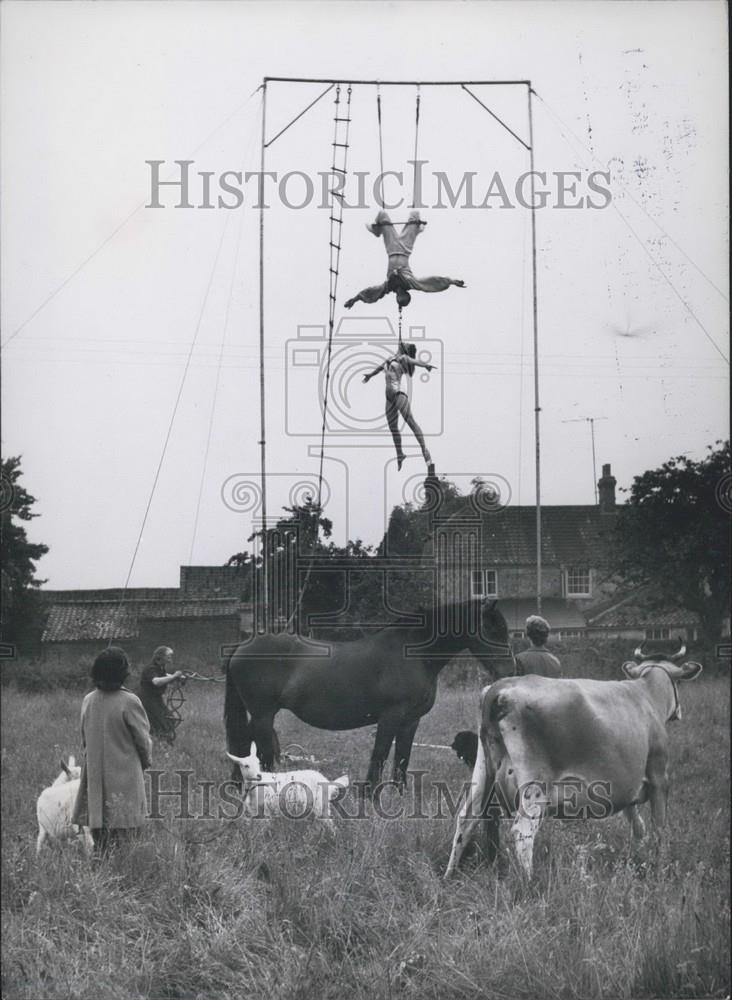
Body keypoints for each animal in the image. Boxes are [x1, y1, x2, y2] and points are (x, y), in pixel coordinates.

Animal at [223, 596, 508, 792]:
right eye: (492, 629)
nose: (508, 669)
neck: (413, 654)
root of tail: (242, 646)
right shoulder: (390, 717)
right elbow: (380, 754)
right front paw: (370, 797)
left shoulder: (411, 721)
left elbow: (402, 758)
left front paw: (399, 796)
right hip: (263, 714)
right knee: (261, 751)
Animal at [446, 644, 704, 880]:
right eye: (678, 683)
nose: (679, 711)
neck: (646, 694)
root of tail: (500, 688)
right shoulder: (659, 778)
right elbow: (659, 829)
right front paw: (659, 871)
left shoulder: (627, 787)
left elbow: (638, 827)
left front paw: (638, 860)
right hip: (535, 786)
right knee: (523, 831)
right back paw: (529, 884)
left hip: (483, 773)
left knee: (466, 819)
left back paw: (450, 875)